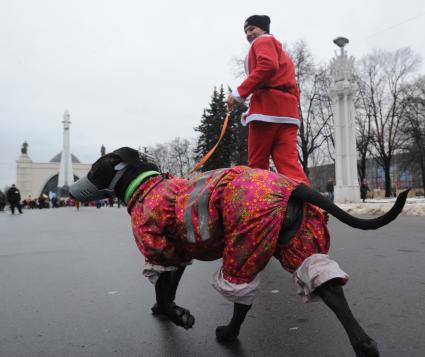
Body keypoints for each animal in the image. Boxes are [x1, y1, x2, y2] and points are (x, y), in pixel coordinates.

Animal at [70, 146, 408, 354]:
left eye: (95, 168)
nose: (69, 189)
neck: (144, 186)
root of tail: (293, 187)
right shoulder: (176, 257)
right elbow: (166, 290)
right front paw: (165, 309)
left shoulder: (159, 252)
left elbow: (164, 294)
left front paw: (177, 316)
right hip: (299, 248)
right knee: (332, 291)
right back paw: (365, 346)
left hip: (243, 249)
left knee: (242, 301)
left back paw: (228, 334)